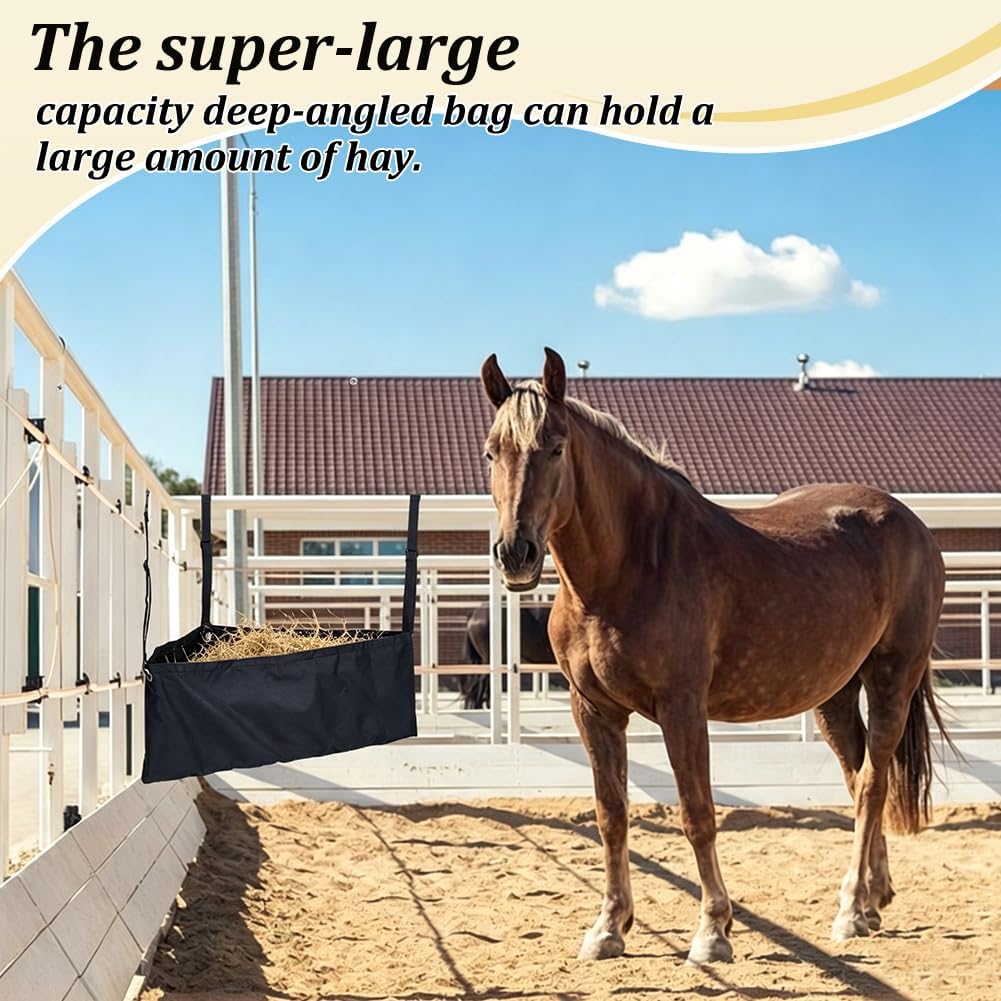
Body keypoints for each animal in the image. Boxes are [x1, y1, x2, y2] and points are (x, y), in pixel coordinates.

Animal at [480, 347, 952, 966]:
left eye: (555, 446)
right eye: (492, 451)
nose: (516, 553)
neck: (632, 565)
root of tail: (914, 526)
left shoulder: (682, 708)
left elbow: (697, 813)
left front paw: (713, 930)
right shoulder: (594, 711)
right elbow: (611, 816)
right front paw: (608, 927)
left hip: (893, 677)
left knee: (873, 784)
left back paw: (851, 909)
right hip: (835, 693)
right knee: (858, 781)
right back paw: (874, 899)